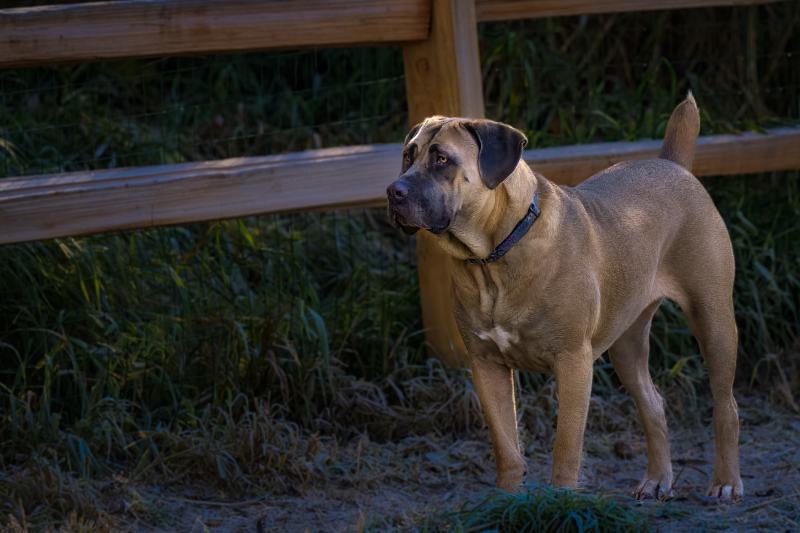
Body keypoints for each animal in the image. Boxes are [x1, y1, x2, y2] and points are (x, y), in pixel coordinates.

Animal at [388, 96, 744, 502]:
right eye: (408, 155)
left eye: (442, 159)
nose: (393, 191)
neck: (495, 256)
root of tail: (674, 164)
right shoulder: (486, 364)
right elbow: (505, 444)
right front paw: (505, 499)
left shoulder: (573, 361)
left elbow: (566, 444)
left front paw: (560, 499)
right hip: (627, 343)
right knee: (652, 403)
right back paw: (657, 479)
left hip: (713, 320)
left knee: (725, 405)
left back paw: (726, 482)